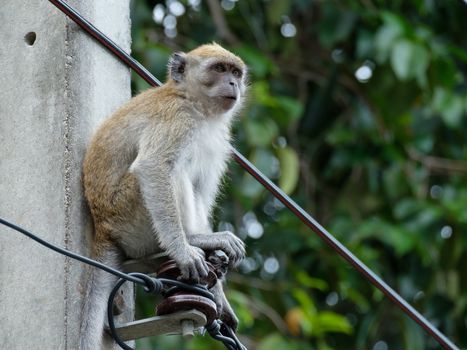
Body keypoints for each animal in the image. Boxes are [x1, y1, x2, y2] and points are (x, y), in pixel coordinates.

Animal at [80, 44, 249, 350]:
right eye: (219, 69)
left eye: (235, 72)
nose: (233, 84)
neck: (193, 103)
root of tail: (104, 228)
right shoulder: (177, 118)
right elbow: (154, 166)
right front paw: (183, 249)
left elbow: (201, 192)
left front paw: (219, 296)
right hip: (130, 216)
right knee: (174, 171)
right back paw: (193, 238)